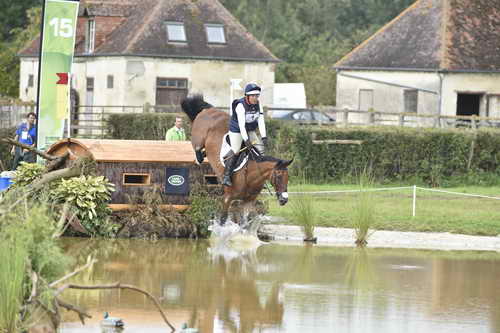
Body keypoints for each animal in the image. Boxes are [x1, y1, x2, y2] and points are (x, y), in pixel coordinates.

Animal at [181, 94, 292, 227]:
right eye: (279, 176)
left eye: (288, 178)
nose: (284, 200)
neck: (251, 174)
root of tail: (208, 110)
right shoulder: (227, 198)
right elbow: (223, 220)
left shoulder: (248, 201)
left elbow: (244, 222)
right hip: (199, 136)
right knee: (197, 146)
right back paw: (199, 157)